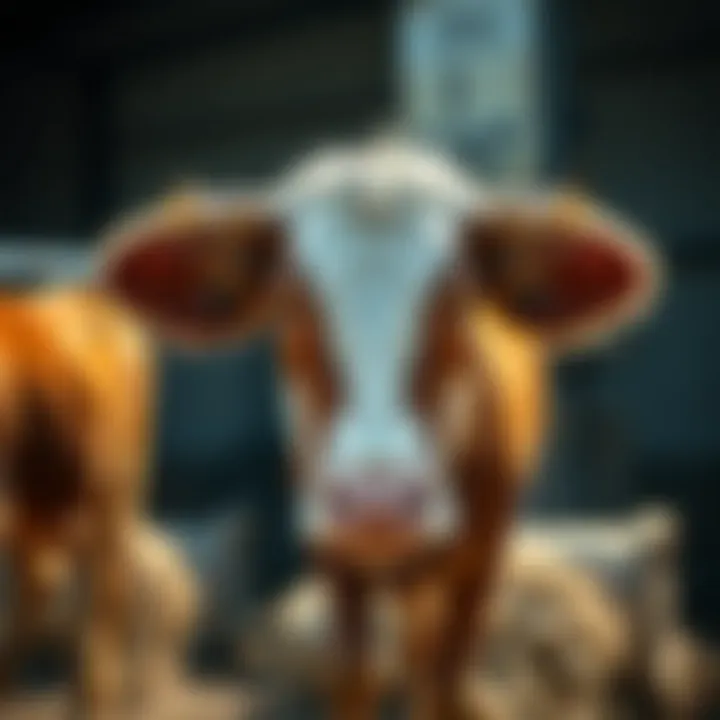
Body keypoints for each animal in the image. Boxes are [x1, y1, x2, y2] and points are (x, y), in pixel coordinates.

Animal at [96, 136, 662, 719]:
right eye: (291, 304)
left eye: (460, 303)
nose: (378, 500)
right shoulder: (331, 544)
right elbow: (356, 675)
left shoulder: (483, 550)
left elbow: (447, 680)